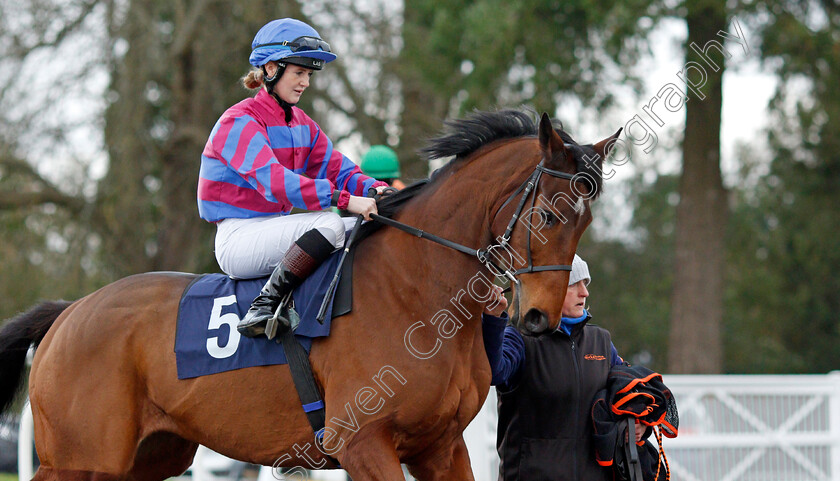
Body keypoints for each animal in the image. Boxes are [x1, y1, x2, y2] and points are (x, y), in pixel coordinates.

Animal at [0, 109, 616, 480]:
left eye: (585, 222)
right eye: (546, 215)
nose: (538, 317)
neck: (415, 292)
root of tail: (69, 313)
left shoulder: (440, 446)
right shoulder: (364, 443)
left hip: (150, 454)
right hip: (81, 458)